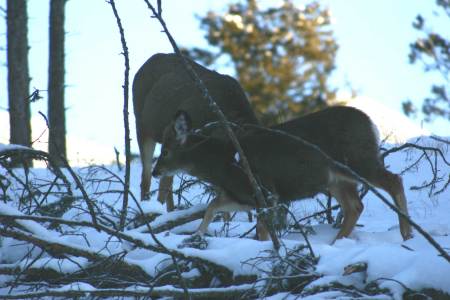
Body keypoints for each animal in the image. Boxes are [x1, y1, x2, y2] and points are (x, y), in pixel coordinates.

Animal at [153, 106, 414, 243]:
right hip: (335, 179)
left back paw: (406, 232)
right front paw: (197, 234)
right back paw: (336, 242)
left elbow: (261, 232)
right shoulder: (242, 196)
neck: (225, 162)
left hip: (358, 161)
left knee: (394, 180)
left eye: (165, 151)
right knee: (355, 206)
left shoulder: (266, 191)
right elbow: (212, 206)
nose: (155, 172)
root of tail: (371, 124)